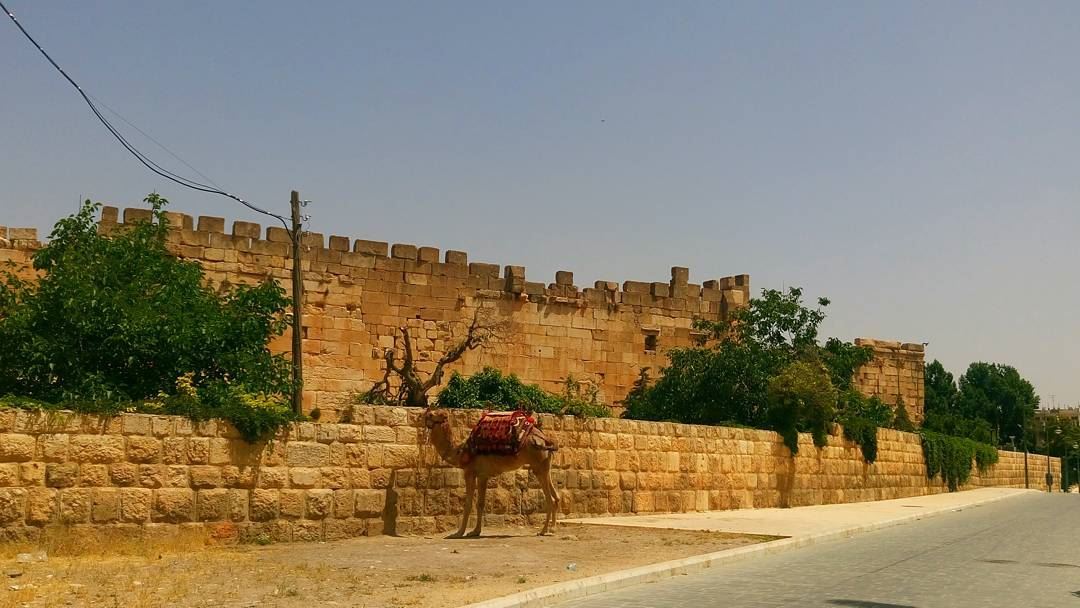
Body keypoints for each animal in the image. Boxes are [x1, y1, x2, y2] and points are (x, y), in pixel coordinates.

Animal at [419, 408, 561, 537]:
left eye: (431, 415)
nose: (422, 416)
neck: (461, 452)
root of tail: (546, 440)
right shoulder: (484, 475)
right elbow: (481, 503)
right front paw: (475, 531)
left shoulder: (471, 473)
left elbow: (469, 503)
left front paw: (458, 533)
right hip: (545, 465)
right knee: (556, 496)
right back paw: (552, 529)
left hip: (538, 464)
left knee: (550, 499)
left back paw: (543, 531)